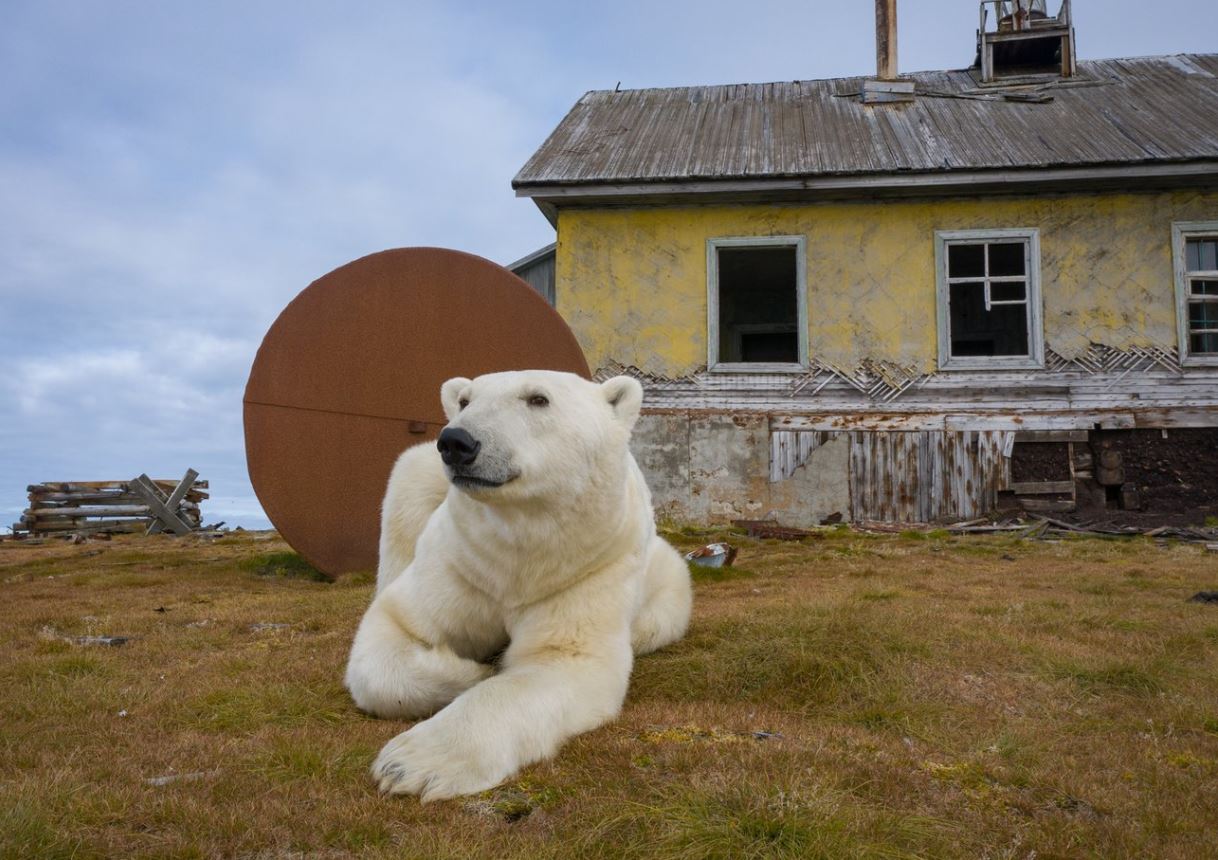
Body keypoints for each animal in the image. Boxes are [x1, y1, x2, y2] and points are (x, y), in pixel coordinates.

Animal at [345, 367, 686, 799]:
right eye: (465, 400)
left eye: (538, 398)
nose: (456, 442)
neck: (518, 555)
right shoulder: (461, 561)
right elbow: (396, 627)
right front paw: (468, 672)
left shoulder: (586, 569)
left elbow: (561, 657)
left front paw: (413, 762)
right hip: (419, 480)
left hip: (662, 575)